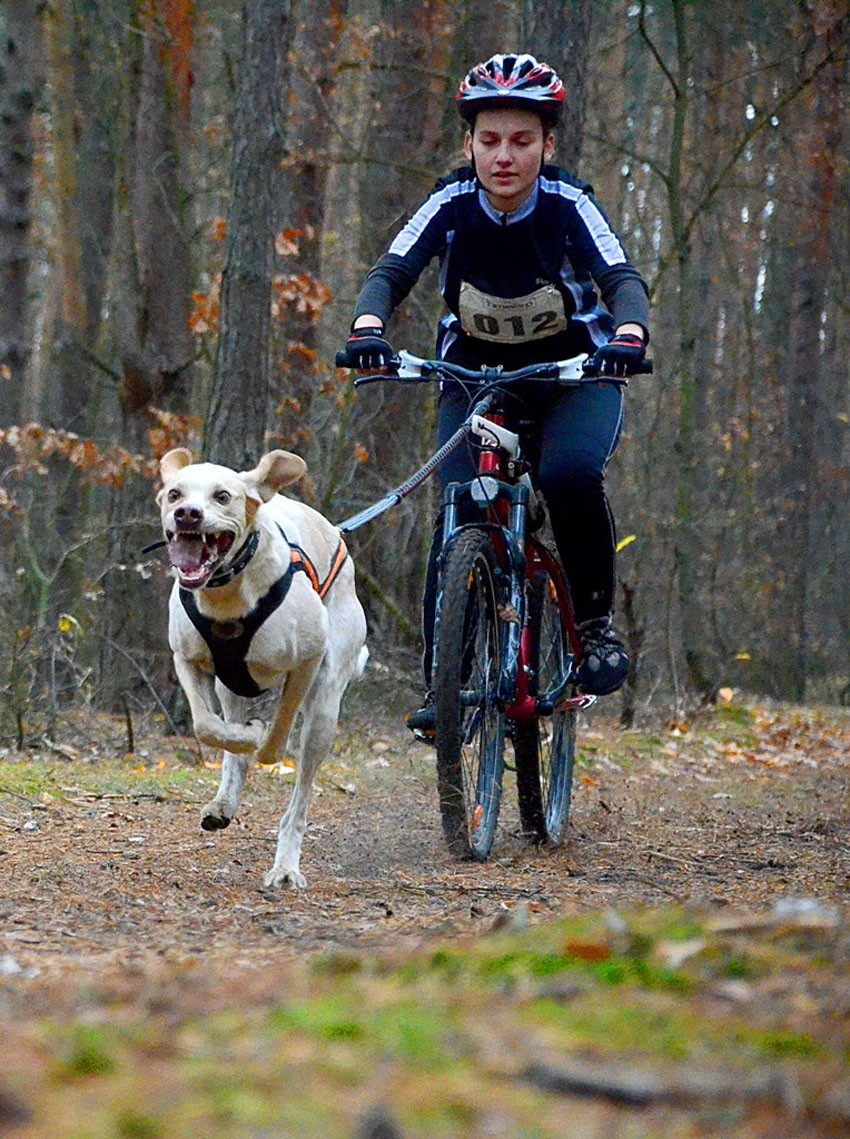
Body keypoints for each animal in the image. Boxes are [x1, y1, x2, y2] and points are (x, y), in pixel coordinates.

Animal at [157, 446, 366, 888]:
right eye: (174, 493)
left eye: (222, 496)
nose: (187, 514)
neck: (227, 596)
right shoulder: (186, 660)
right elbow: (206, 726)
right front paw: (243, 737)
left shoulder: (307, 662)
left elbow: (278, 737)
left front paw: (261, 737)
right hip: (228, 687)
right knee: (230, 744)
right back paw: (224, 800)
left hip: (325, 709)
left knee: (299, 796)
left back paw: (285, 865)